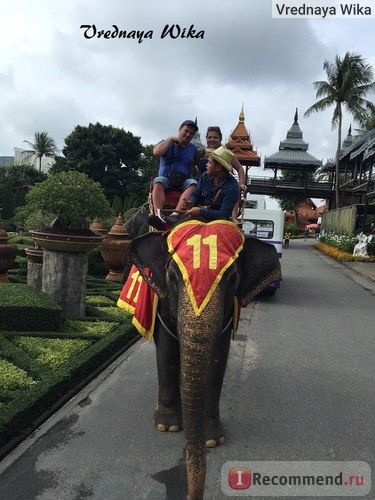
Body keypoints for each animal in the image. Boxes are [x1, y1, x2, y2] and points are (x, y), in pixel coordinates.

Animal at [129, 221, 282, 498]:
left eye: (232, 279)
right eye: (173, 277)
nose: (192, 495)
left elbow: (218, 358)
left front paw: (212, 439)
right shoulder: (162, 300)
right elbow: (166, 349)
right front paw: (167, 427)